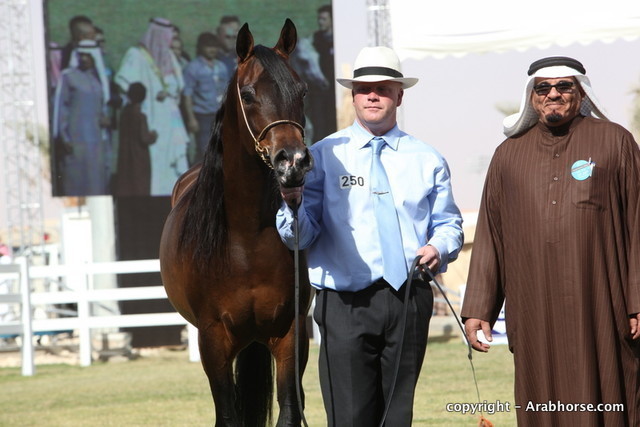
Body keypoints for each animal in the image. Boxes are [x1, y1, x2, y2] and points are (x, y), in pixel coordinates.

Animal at [159, 19, 313, 426]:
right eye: (248, 93)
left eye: (302, 90)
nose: (293, 161)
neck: (246, 241)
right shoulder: (213, 340)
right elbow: (228, 415)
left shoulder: (291, 333)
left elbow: (289, 409)